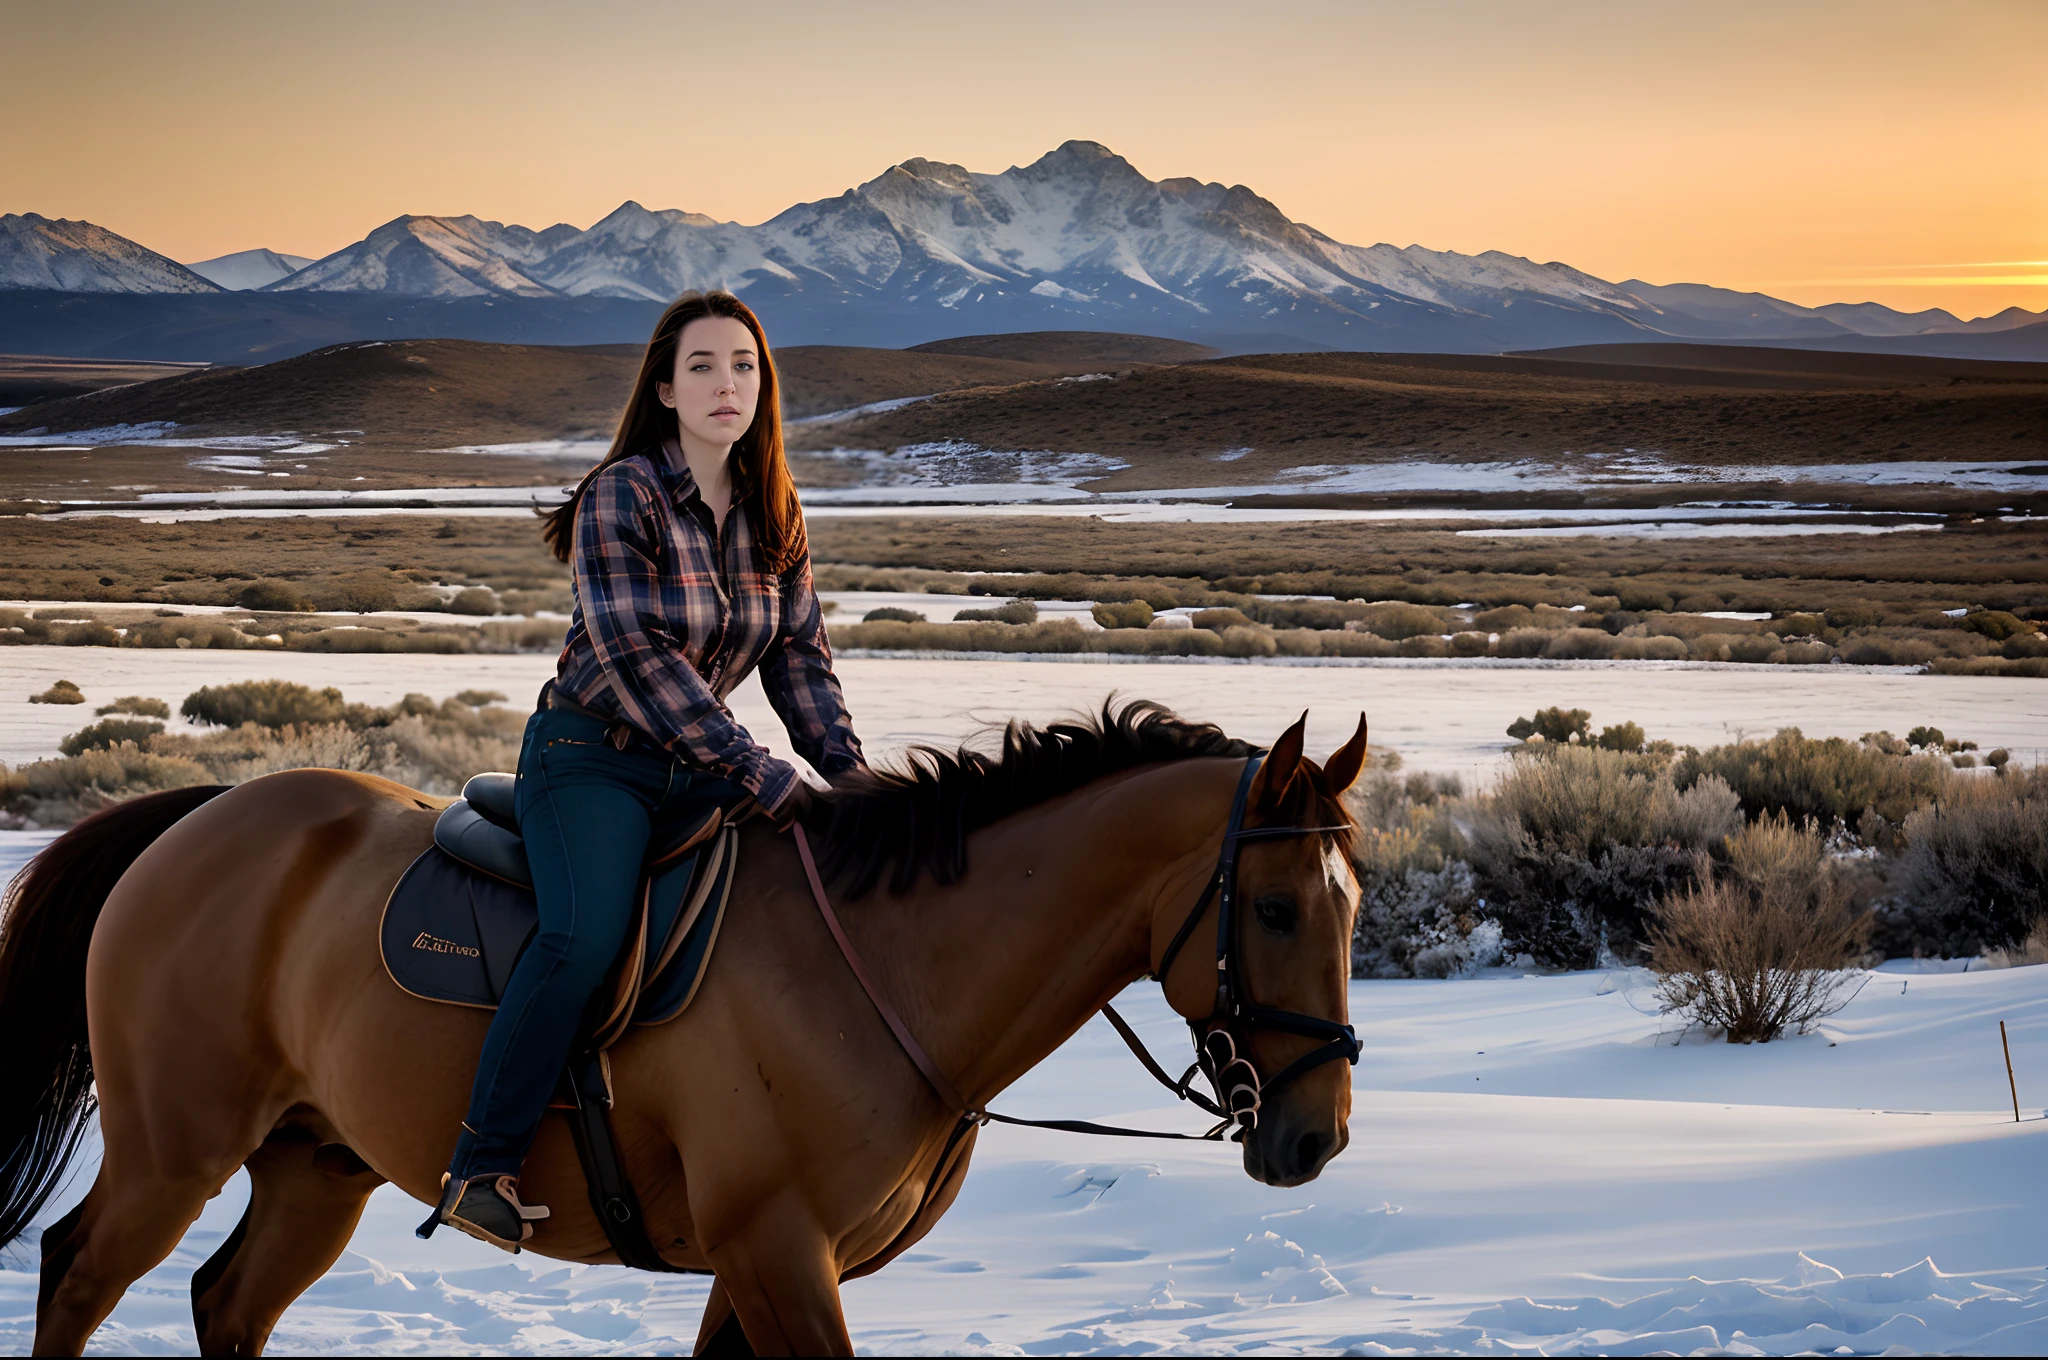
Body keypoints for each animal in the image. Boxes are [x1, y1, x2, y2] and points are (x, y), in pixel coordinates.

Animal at [4, 704, 1376, 1351]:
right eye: (1269, 906)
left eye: (1353, 907)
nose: (1314, 1137)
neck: (883, 971)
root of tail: (198, 818)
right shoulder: (777, 1253)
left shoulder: (761, 1265)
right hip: (174, 1151)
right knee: (76, 1273)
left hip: (312, 1167)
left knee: (227, 1302)